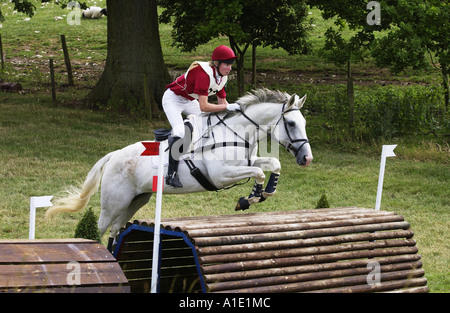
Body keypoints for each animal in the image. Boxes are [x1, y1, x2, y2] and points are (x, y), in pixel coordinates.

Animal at [46, 88, 312, 249]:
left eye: (303, 122)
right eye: (290, 123)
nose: (307, 158)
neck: (236, 133)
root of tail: (113, 156)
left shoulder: (248, 162)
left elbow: (272, 164)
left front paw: (264, 193)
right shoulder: (220, 175)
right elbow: (258, 173)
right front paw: (250, 198)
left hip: (136, 200)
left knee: (114, 230)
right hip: (114, 202)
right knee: (97, 229)